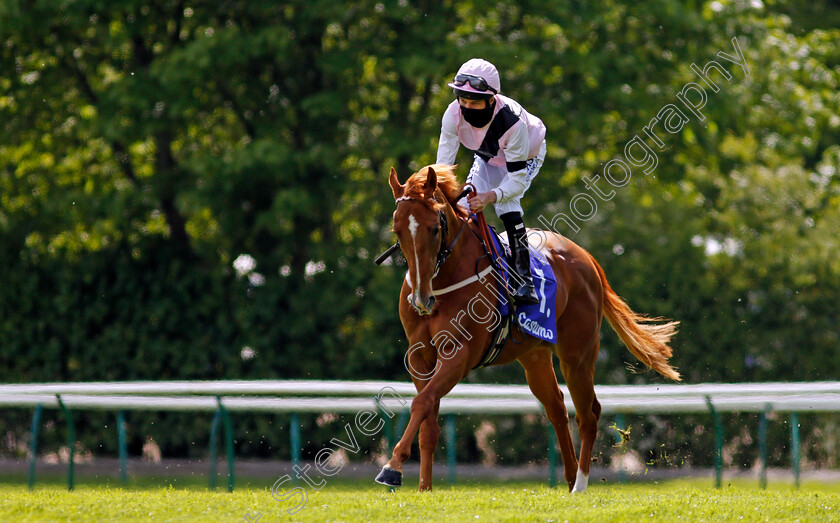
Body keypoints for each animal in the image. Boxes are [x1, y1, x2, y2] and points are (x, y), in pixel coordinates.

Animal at [378, 166, 680, 494]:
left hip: (577, 355)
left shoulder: (460, 355)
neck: (445, 281)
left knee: (588, 414)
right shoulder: (420, 357)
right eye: (397, 230)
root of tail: (586, 257)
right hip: (534, 356)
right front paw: (424, 488)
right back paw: (570, 479)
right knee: (557, 407)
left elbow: (421, 402)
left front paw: (392, 467)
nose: (421, 299)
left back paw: (580, 484)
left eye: (434, 228)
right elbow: (428, 418)